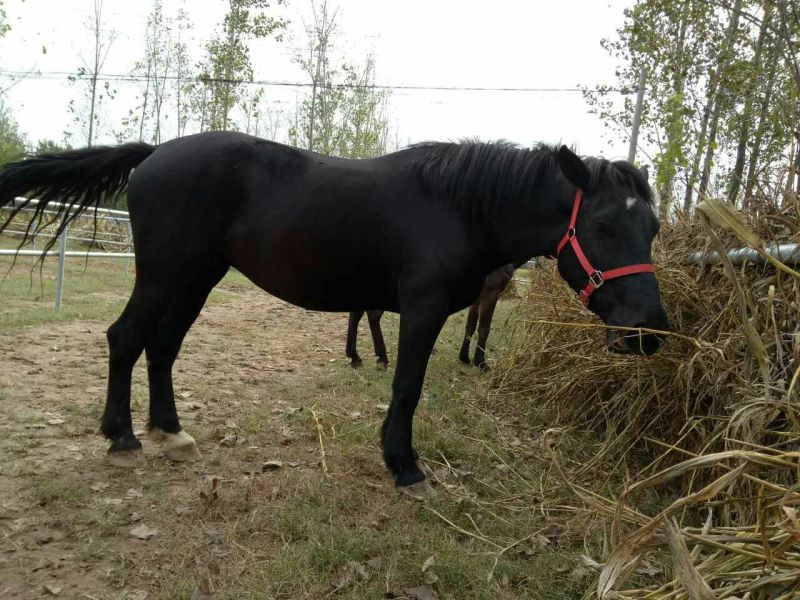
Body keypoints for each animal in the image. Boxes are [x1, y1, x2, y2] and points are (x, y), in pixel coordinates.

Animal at [346, 263, 516, 371]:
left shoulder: (478, 296)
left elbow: (471, 325)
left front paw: (464, 358)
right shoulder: (491, 291)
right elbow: (484, 328)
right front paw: (481, 362)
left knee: (359, 314)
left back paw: (357, 357)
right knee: (372, 315)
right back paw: (377, 357)